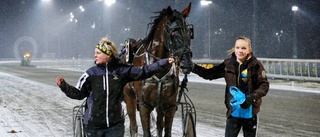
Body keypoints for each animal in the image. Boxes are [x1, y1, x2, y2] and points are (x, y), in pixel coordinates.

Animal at [121, 3, 194, 137]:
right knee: (133, 126)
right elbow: (146, 132)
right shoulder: (144, 105)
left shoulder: (169, 105)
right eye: (173, 32)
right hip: (129, 96)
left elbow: (166, 131)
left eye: (189, 32)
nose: (187, 64)